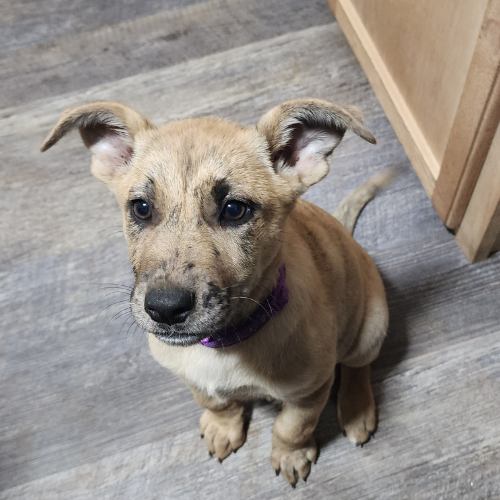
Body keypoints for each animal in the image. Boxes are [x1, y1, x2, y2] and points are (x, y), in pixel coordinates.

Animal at [40, 99, 390, 486]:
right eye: (141, 208)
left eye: (234, 210)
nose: (165, 309)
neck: (225, 344)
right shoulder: (189, 375)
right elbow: (215, 402)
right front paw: (224, 427)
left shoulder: (310, 391)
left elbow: (291, 427)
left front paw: (290, 454)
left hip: (371, 326)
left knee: (359, 365)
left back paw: (357, 410)